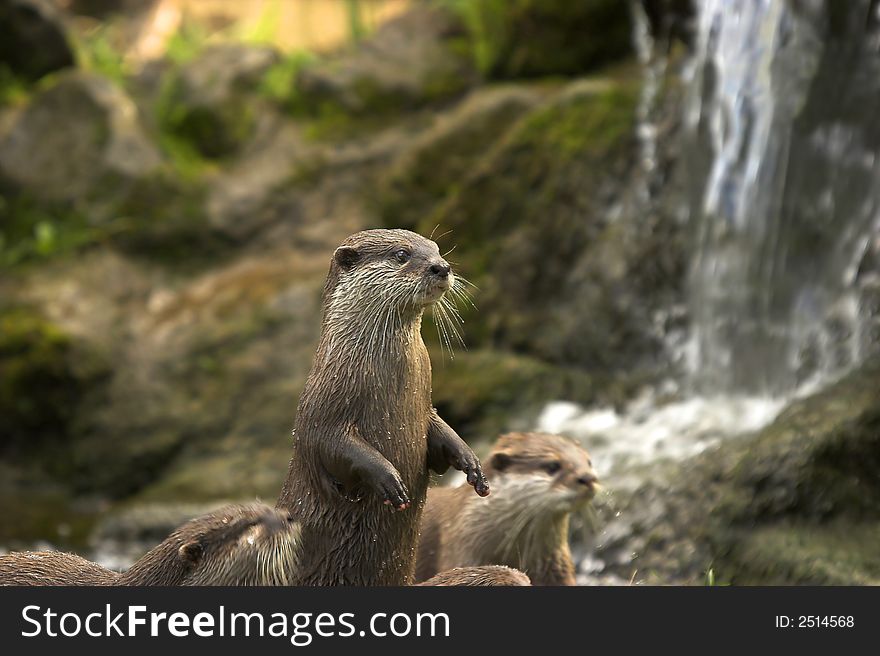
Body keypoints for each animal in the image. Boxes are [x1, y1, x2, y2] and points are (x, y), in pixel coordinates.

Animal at [280, 229, 492, 584]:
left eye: (435, 249)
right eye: (401, 254)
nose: (442, 267)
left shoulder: (426, 407)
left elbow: (440, 430)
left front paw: (471, 462)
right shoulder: (320, 410)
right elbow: (328, 443)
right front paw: (388, 478)